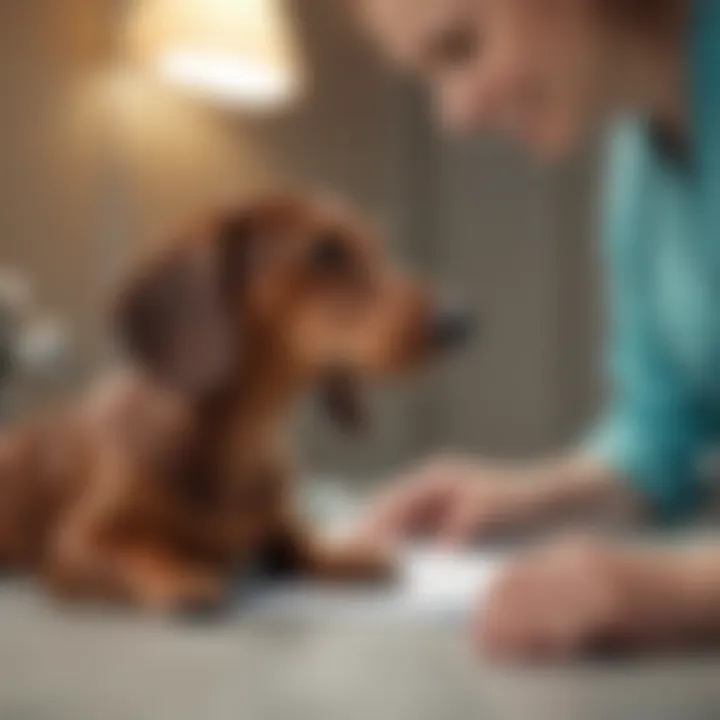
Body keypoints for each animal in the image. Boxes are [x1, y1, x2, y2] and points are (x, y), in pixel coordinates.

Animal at [0, 194, 472, 616]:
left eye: (378, 246)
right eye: (324, 251)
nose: (460, 321)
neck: (243, 436)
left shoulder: (276, 525)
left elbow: (299, 541)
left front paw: (341, 553)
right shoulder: (76, 544)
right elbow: (142, 548)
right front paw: (182, 575)